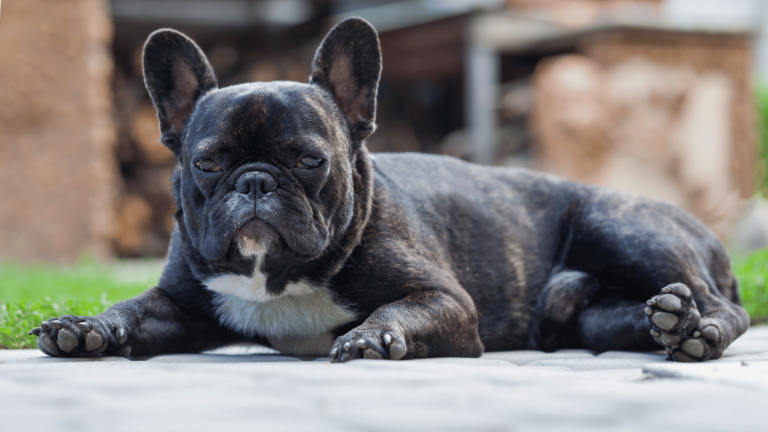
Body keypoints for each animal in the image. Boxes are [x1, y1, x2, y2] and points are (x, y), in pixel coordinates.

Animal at [31, 17, 752, 362]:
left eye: (309, 159)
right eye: (208, 163)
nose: (256, 180)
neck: (278, 277)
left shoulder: (443, 300)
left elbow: (396, 312)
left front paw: (372, 338)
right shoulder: (175, 303)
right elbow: (131, 309)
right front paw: (86, 328)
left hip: (619, 224)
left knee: (726, 308)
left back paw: (697, 333)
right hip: (594, 312)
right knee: (631, 316)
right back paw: (668, 322)